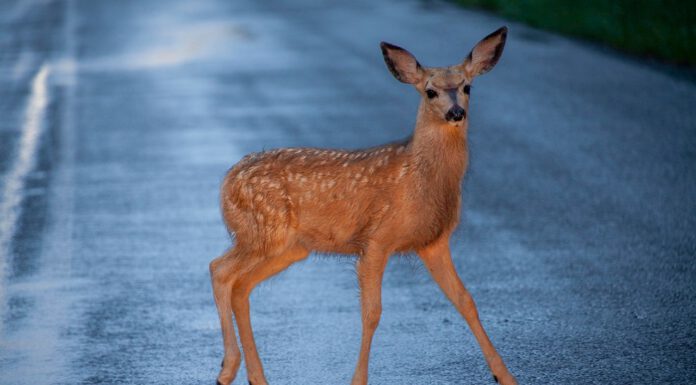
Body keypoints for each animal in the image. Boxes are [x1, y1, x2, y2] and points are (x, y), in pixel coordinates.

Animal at [211, 26, 516, 384]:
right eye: (430, 92)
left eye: (468, 87)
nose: (456, 112)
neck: (419, 178)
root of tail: (227, 180)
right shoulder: (377, 238)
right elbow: (372, 313)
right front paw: (358, 379)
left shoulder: (433, 242)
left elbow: (466, 301)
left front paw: (505, 376)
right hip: (261, 230)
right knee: (220, 270)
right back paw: (227, 368)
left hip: (288, 248)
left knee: (241, 286)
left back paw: (255, 376)